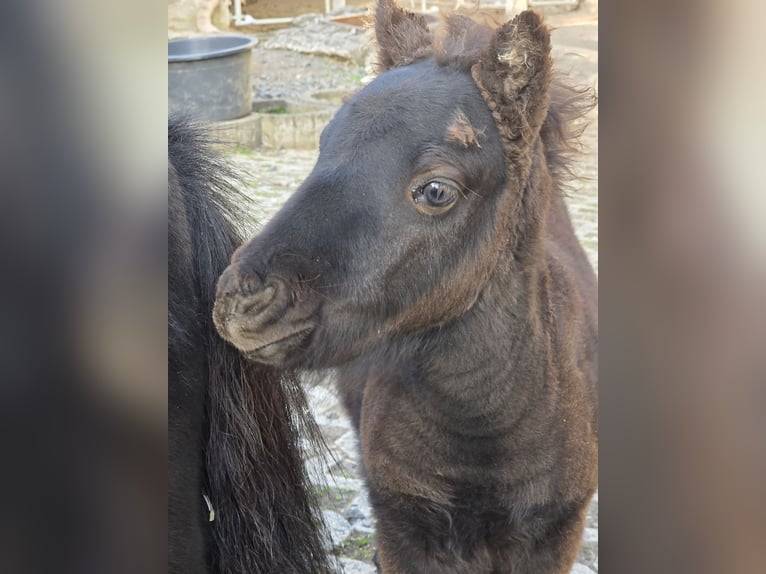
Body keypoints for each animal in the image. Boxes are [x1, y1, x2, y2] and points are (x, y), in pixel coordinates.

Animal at [212, 1, 598, 572]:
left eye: (436, 190)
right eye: (322, 147)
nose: (241, 299)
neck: (482, 433)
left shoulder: (556, 533)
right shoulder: (404, 523)